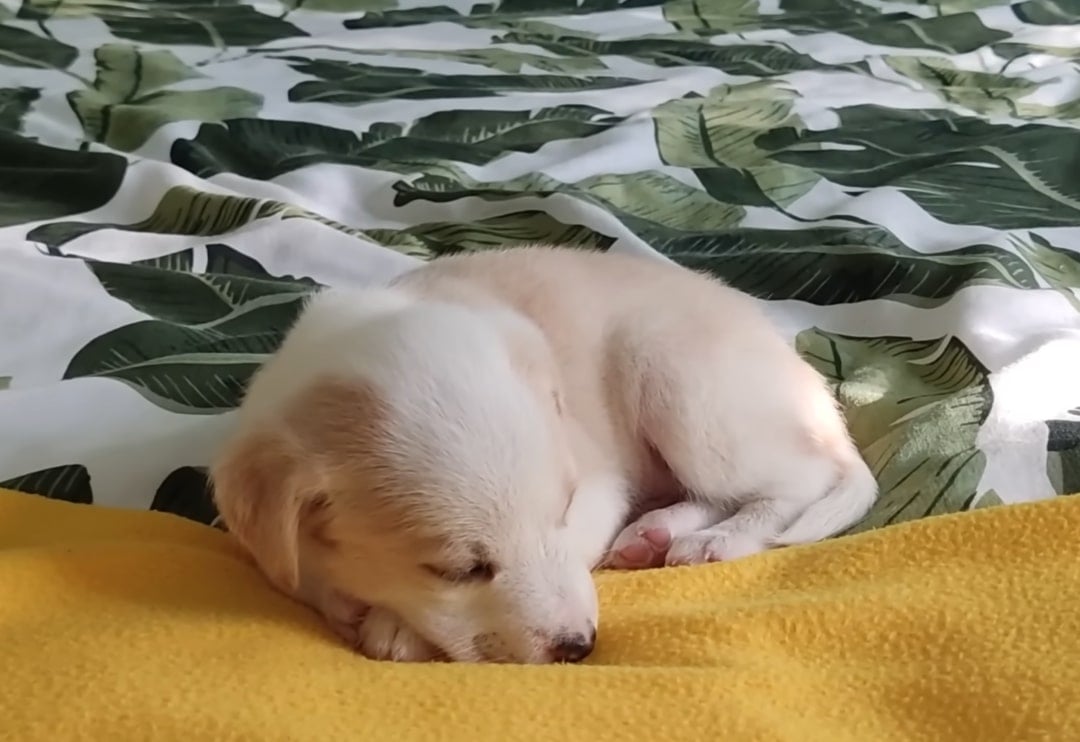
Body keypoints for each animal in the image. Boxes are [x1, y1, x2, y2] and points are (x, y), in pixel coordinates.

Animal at [212, 246, 876, 665]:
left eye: (563, 513)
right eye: (459, 570)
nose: (580, 648)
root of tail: (814, 389)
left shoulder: (601, 484)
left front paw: (396, 628)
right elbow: (308, 574)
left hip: (684, 389)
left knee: (798, 480)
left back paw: (720, 540)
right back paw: (656, 534)